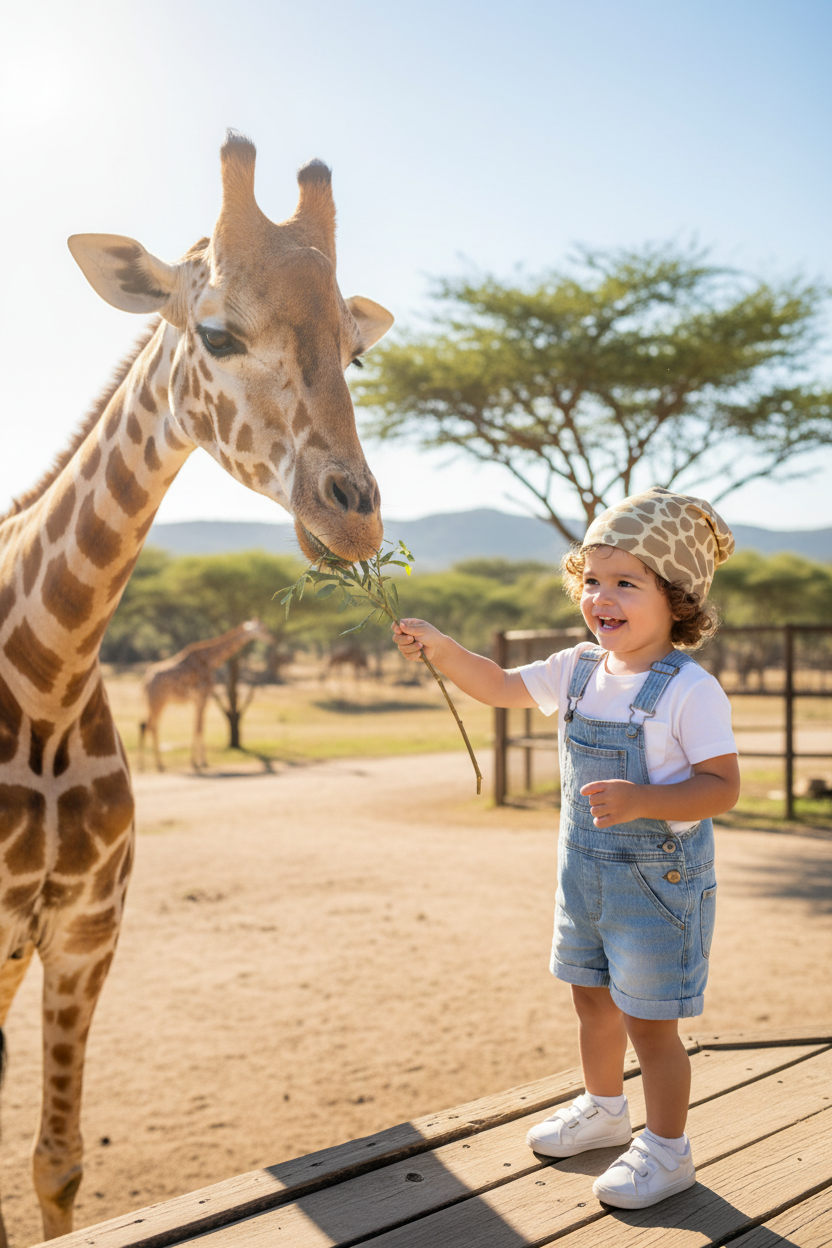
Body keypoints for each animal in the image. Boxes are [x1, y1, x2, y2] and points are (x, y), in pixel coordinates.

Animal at [139, 618, 272, 771]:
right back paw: (153, 765)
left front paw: (197, 761)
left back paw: (149, 764)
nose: (272, 638)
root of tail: (146, 679)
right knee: (149, 726)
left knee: (147, 725)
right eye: (263, 629)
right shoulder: (204, 696)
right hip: (158, 702)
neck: (211, 660)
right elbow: (199, 727)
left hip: (157, 703)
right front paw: (200, 762)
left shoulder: (198, 699)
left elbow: (197, 726)